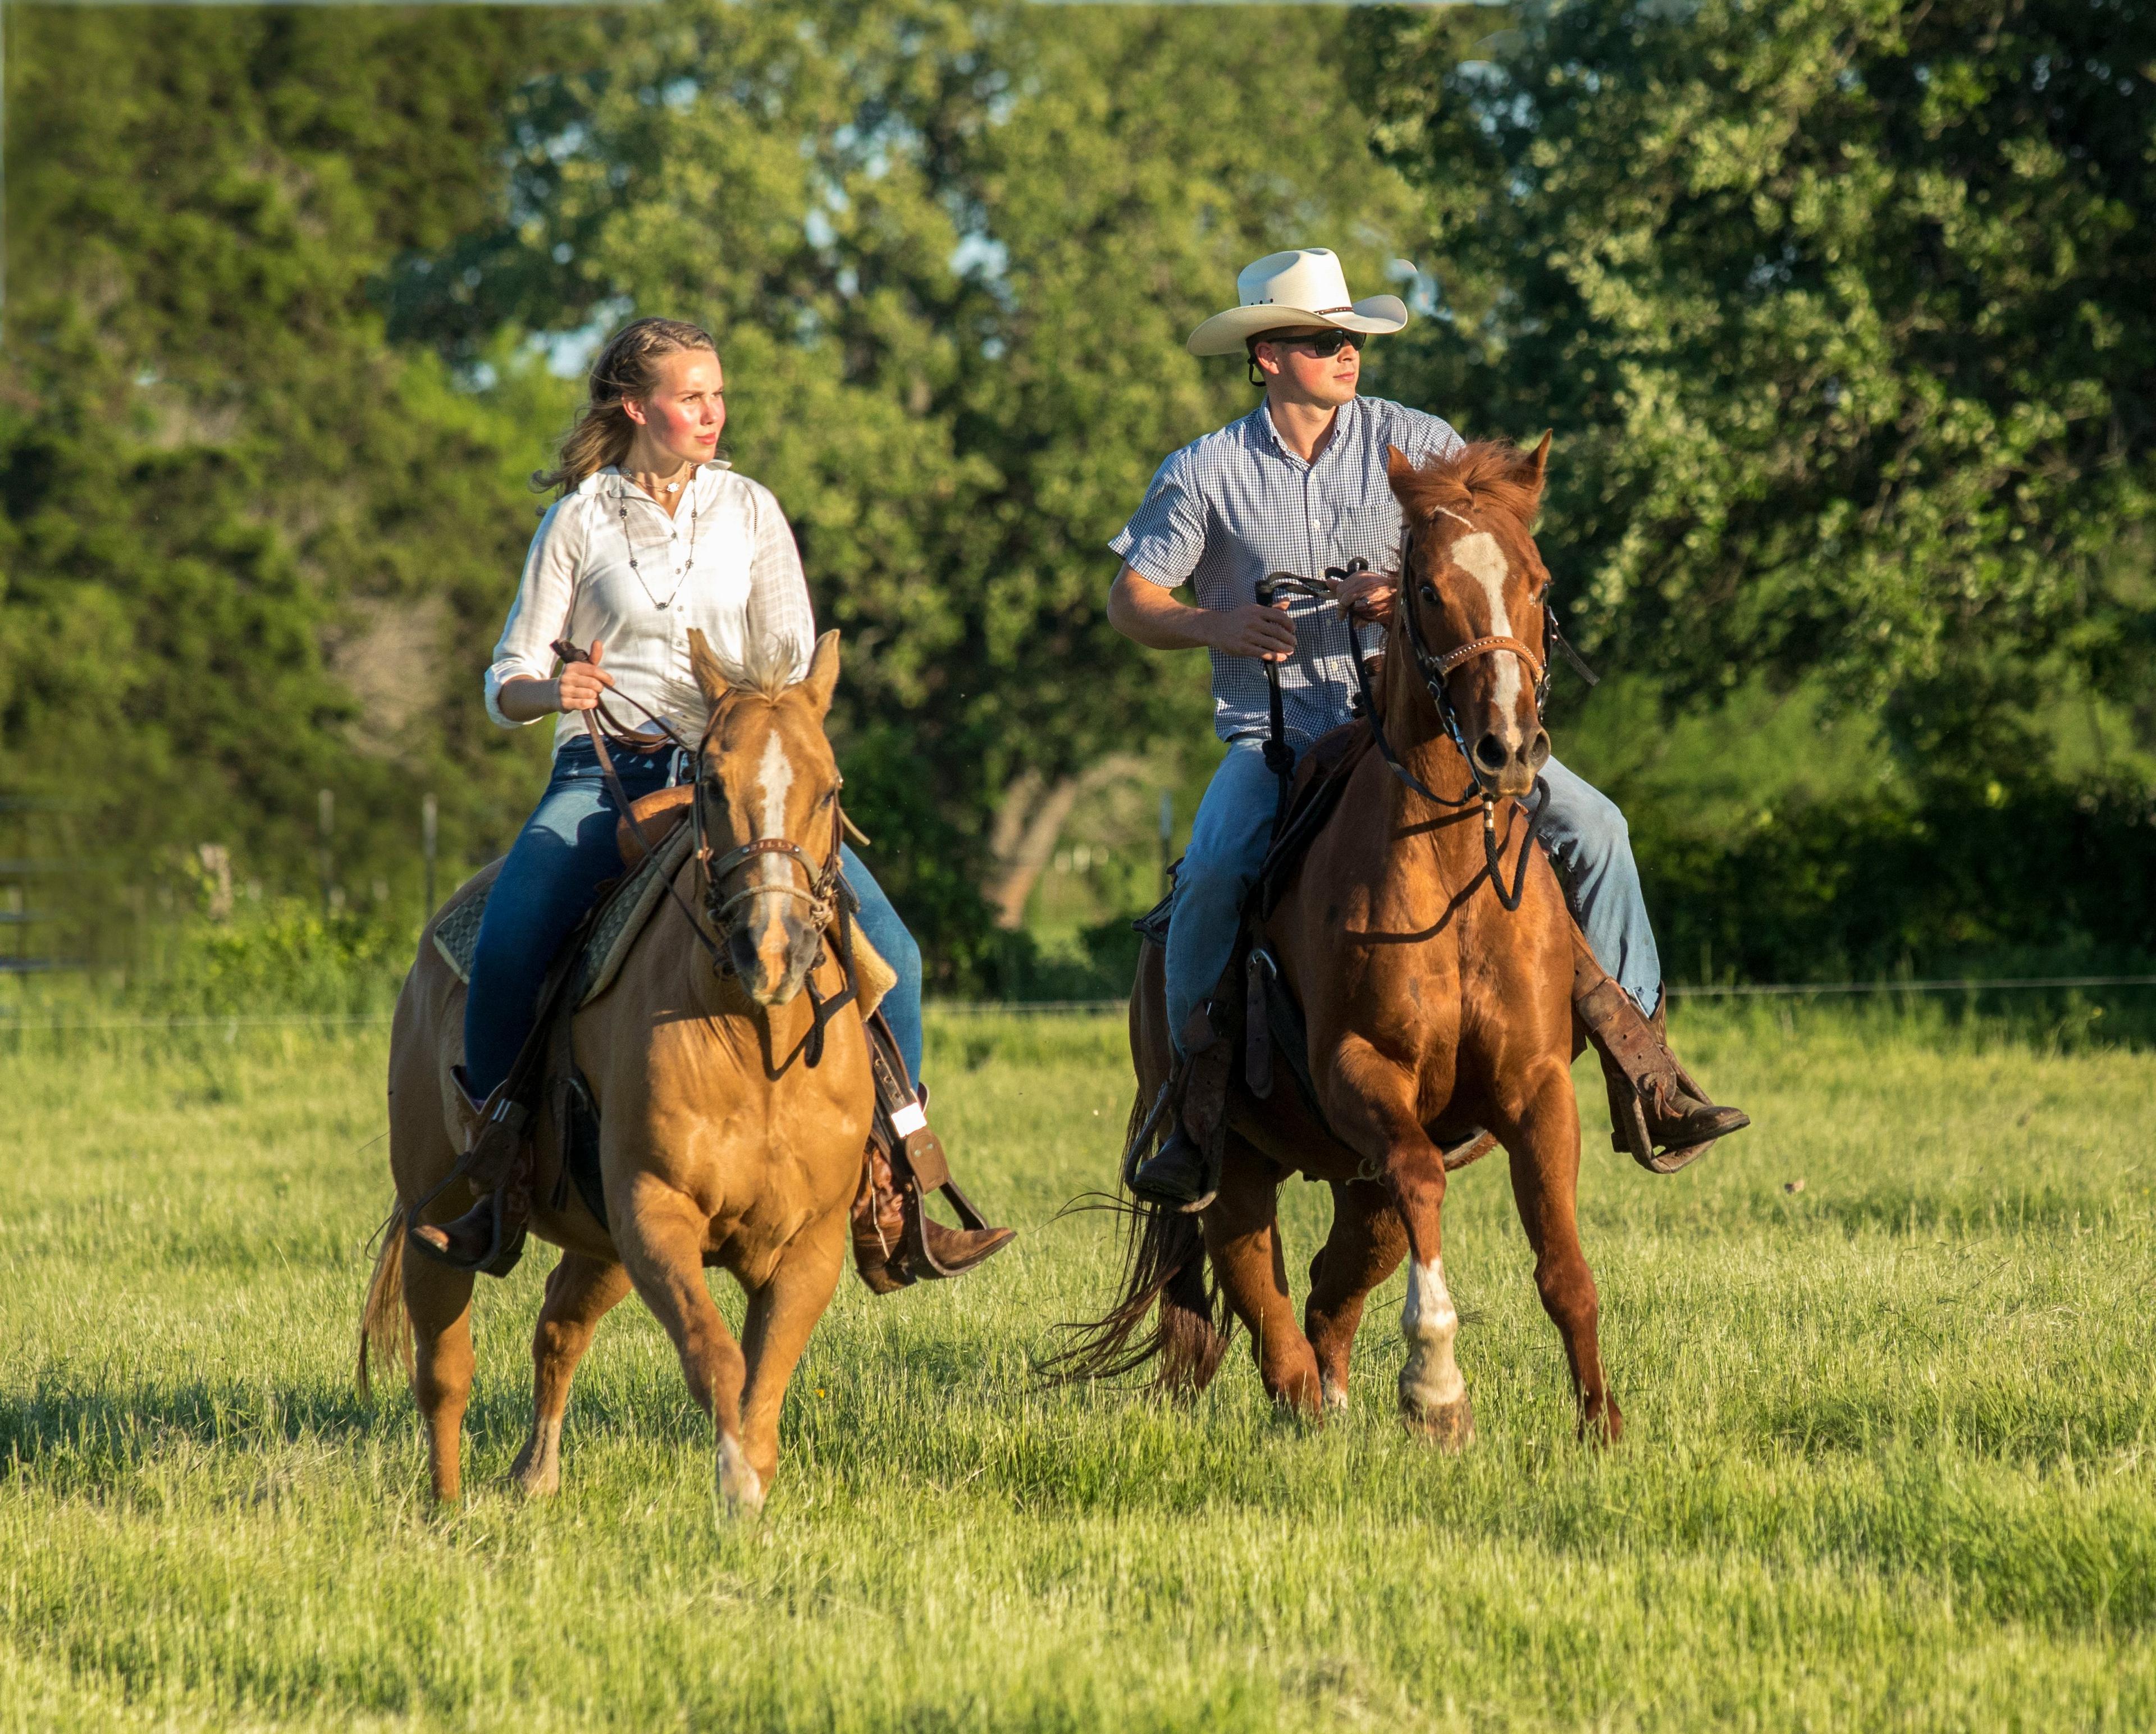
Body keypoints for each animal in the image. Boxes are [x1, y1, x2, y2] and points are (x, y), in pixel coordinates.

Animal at [362, 625, 875, 1501]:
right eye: (712, 783)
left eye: (832, 789)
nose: (771, 949)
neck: (757, 1046)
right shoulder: (653, 1213)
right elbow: (716, 1360)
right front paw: (734, 1490)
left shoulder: (807, 1245)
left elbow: (762, 1389)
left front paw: (749, 1488)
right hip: (443, 1204)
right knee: (445, 1372)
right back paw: (447, 1508)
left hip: (594, 1240)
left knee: (558, 1327)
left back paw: (535, 1476)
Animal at [1065, 437, 1621, 1449]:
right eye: (1429, 589)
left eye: (1538, 583)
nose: (1508, 747)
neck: (1450, 870)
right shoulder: (1362, 1071)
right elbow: (1420, 1188)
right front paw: (1438, 1388)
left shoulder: (1532, 1087)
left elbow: (1563, 1265)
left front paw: (1602, 1426)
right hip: (1234, 1161)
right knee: (1264, 1294)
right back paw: (1314, 1407)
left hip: (1353, 1174)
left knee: (1334, 1284)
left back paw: (1336, 1399)